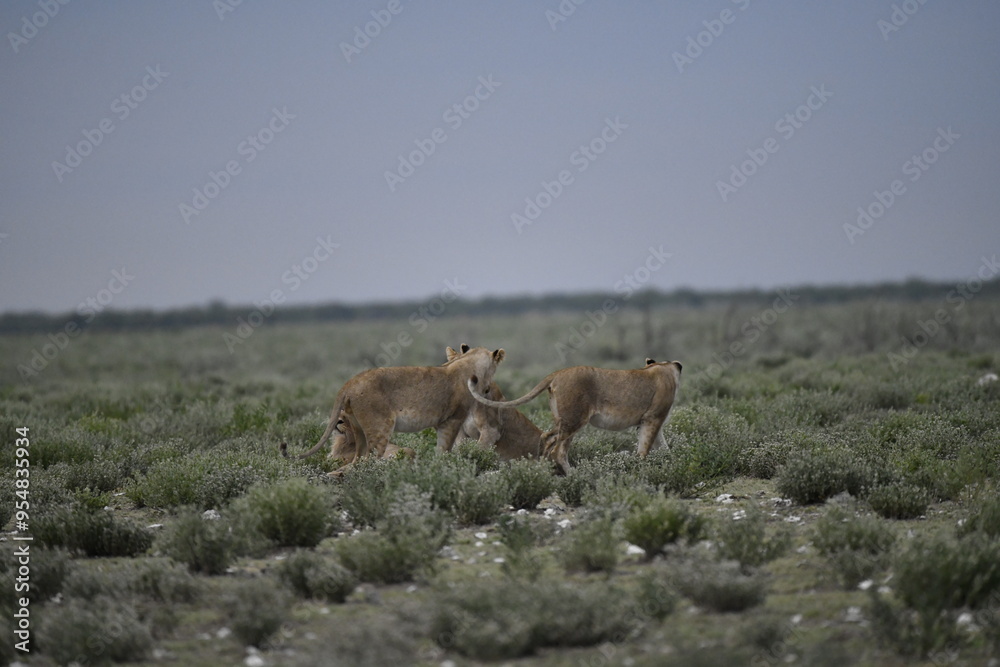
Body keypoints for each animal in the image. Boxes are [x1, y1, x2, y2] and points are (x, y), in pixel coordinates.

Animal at [280, 344, 505, 473]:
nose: (488, 390)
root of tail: (351, 382)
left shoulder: (442, 422)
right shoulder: (452, 419)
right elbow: (445, 449)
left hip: (358, 429)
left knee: (357, 460)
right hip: (380, 426)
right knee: (369, 460)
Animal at [468, 358, 682, 474]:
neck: (664, 367)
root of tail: (557, 373)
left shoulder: (648, 422)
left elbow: (663, 447)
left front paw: (672, 464)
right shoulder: (653, 419)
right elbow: (645, 449)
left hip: (564, 420)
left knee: (547, 438)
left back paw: (546, 471)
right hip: (575, 419)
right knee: (557, 451)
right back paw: (574, 476)